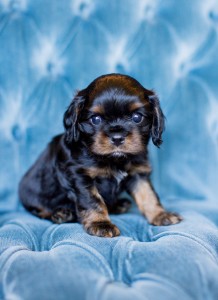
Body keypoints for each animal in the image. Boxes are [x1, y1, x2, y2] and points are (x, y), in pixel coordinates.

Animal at [19, 73, 182, 237]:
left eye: (137, 117)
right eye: (95, 119)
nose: (117, 137)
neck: (114, 159)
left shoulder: (138, 174)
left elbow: (148, 194)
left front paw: (160, 215)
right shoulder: (80, 176)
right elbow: (93, 200)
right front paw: (101, 224)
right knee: (40, 210)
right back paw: (62, 214)